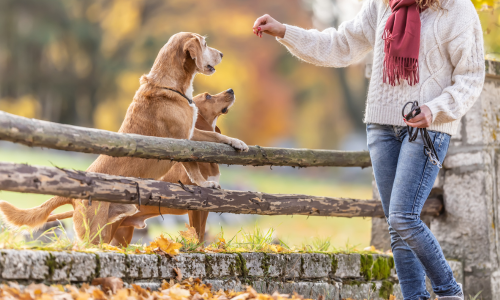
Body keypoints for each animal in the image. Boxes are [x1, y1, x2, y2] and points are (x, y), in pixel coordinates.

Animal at [0, 32, 248, 245]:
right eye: (205, 44)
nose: (222, 54)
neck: (169, 85)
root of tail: (75, 192)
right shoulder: (182, 142)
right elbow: (194, 166)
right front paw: (204, 183)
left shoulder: (192, 131)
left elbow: (214, 135)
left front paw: (238, 142)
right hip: (94, 234)